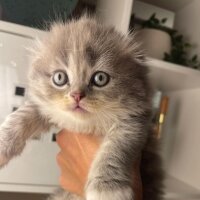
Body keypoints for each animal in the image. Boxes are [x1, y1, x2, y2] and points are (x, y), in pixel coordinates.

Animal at [0, 16, 163, 200]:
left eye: (100, 78)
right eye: (60, 78)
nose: (77, 95)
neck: (86, 125)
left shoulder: (134, 123)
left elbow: (115, 150)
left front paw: (107, 189)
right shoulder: (46, 108)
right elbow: (23, 115)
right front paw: (3, 144)